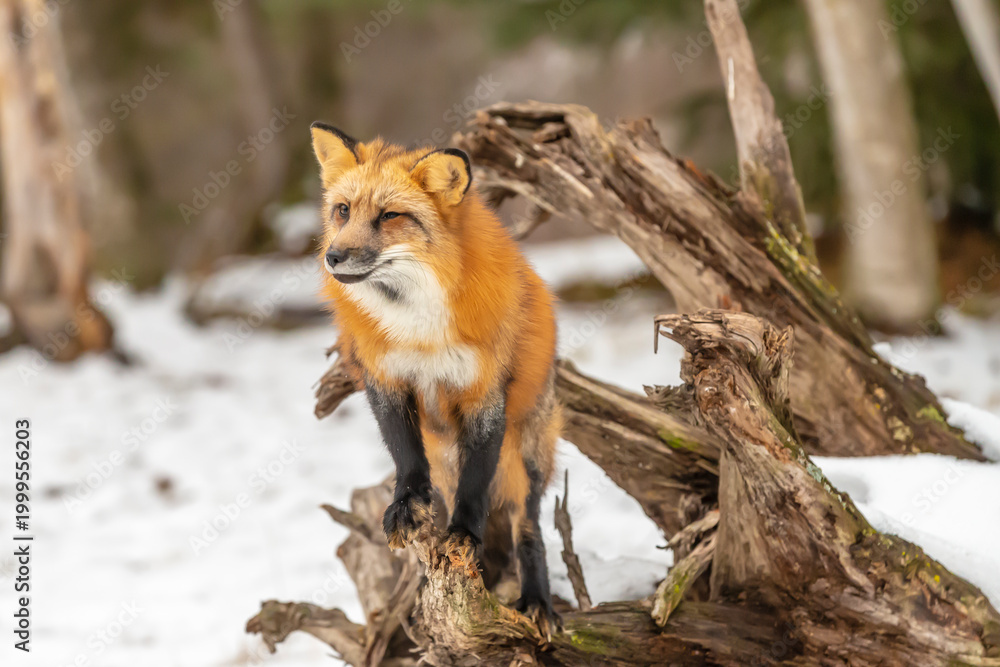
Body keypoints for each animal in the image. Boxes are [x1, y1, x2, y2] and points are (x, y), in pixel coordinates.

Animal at [310, 122, 562, 636]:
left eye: (390, 216)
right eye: (343, 210)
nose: (334, 256)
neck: (417, 329)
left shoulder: (484, 394)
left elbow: (476, 484)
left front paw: (463, 532)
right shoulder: (386, 381)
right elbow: (406, 457)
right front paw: (408, 505)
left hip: (528, 457)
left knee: (527, 524)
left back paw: (536, 599)